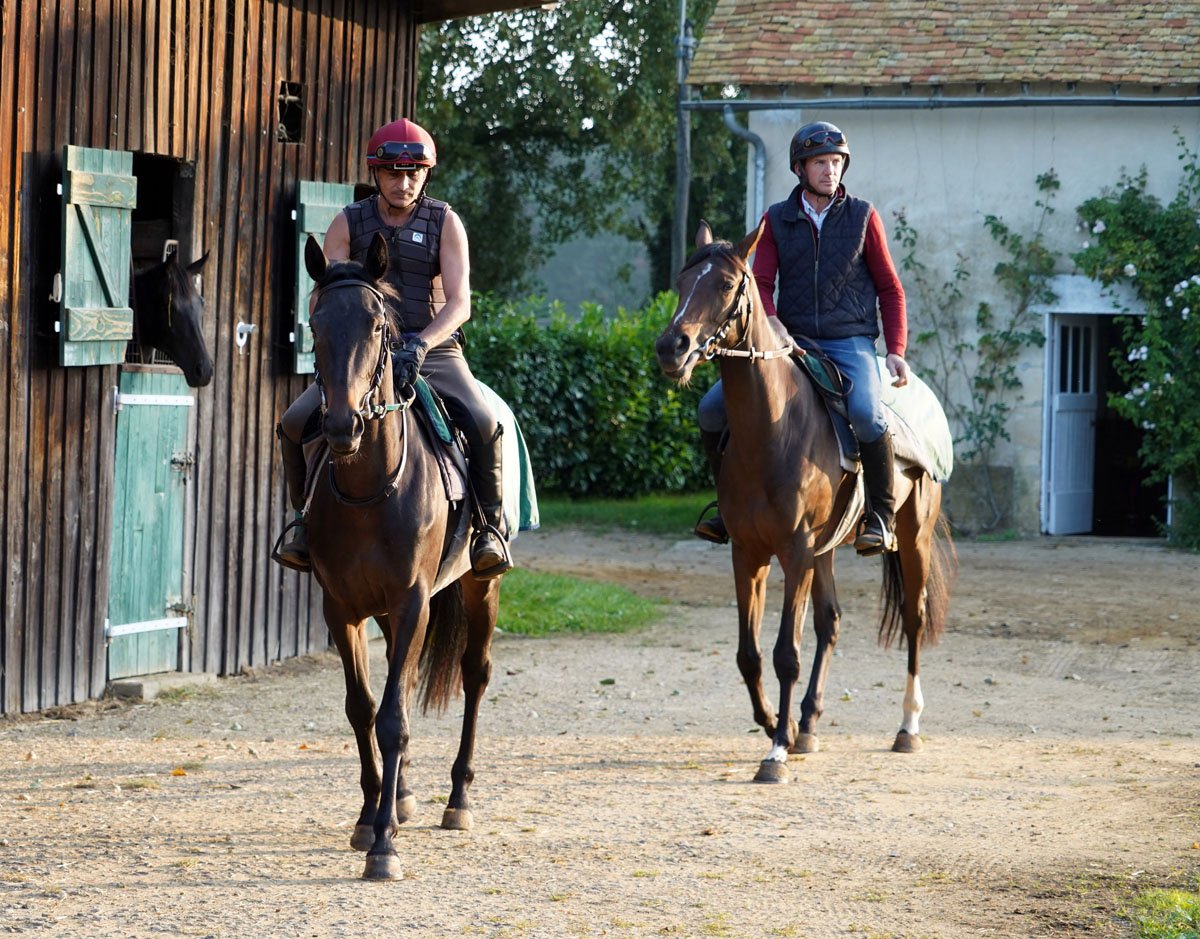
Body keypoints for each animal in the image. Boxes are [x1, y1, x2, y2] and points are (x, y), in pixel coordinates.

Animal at [302, 231, 501, 880]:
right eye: (315, 323)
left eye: (378, 327)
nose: (341, 423)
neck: (370, 487)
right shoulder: (340, 607)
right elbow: (364, 708)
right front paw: (371, 818)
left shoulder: (414, 599)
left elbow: (392, 717)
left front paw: (385, 846)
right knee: (401, 676)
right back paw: (407, 794)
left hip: (480, 587)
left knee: (474, 675)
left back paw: (458, 799)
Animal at [654, 220, 954, 783]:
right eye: (682, 282)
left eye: (725, 285)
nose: (671, 346)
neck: (774, 428)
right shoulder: (748, 554)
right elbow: (749, 655)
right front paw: (782, 725)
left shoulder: (793, 552)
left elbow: (784, 654)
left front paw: (774, 753)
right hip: (825, 550)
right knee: (830, 622)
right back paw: (810, 724)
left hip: (911, 537)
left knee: (913, 616)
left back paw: (908, 727)